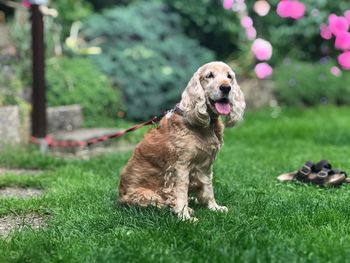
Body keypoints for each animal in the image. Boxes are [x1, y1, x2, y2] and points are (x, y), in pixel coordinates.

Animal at [119, 62, 245, 221]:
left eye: (229, 76)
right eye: (209, 75)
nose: (226, 87)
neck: (205, 126)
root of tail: (119, 196)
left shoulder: (206, 165)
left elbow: (208, 188)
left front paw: (214, 207)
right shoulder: (180, 167)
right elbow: (181, 192)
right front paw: (184, 216)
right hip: (146, 194)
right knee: (162, 202)